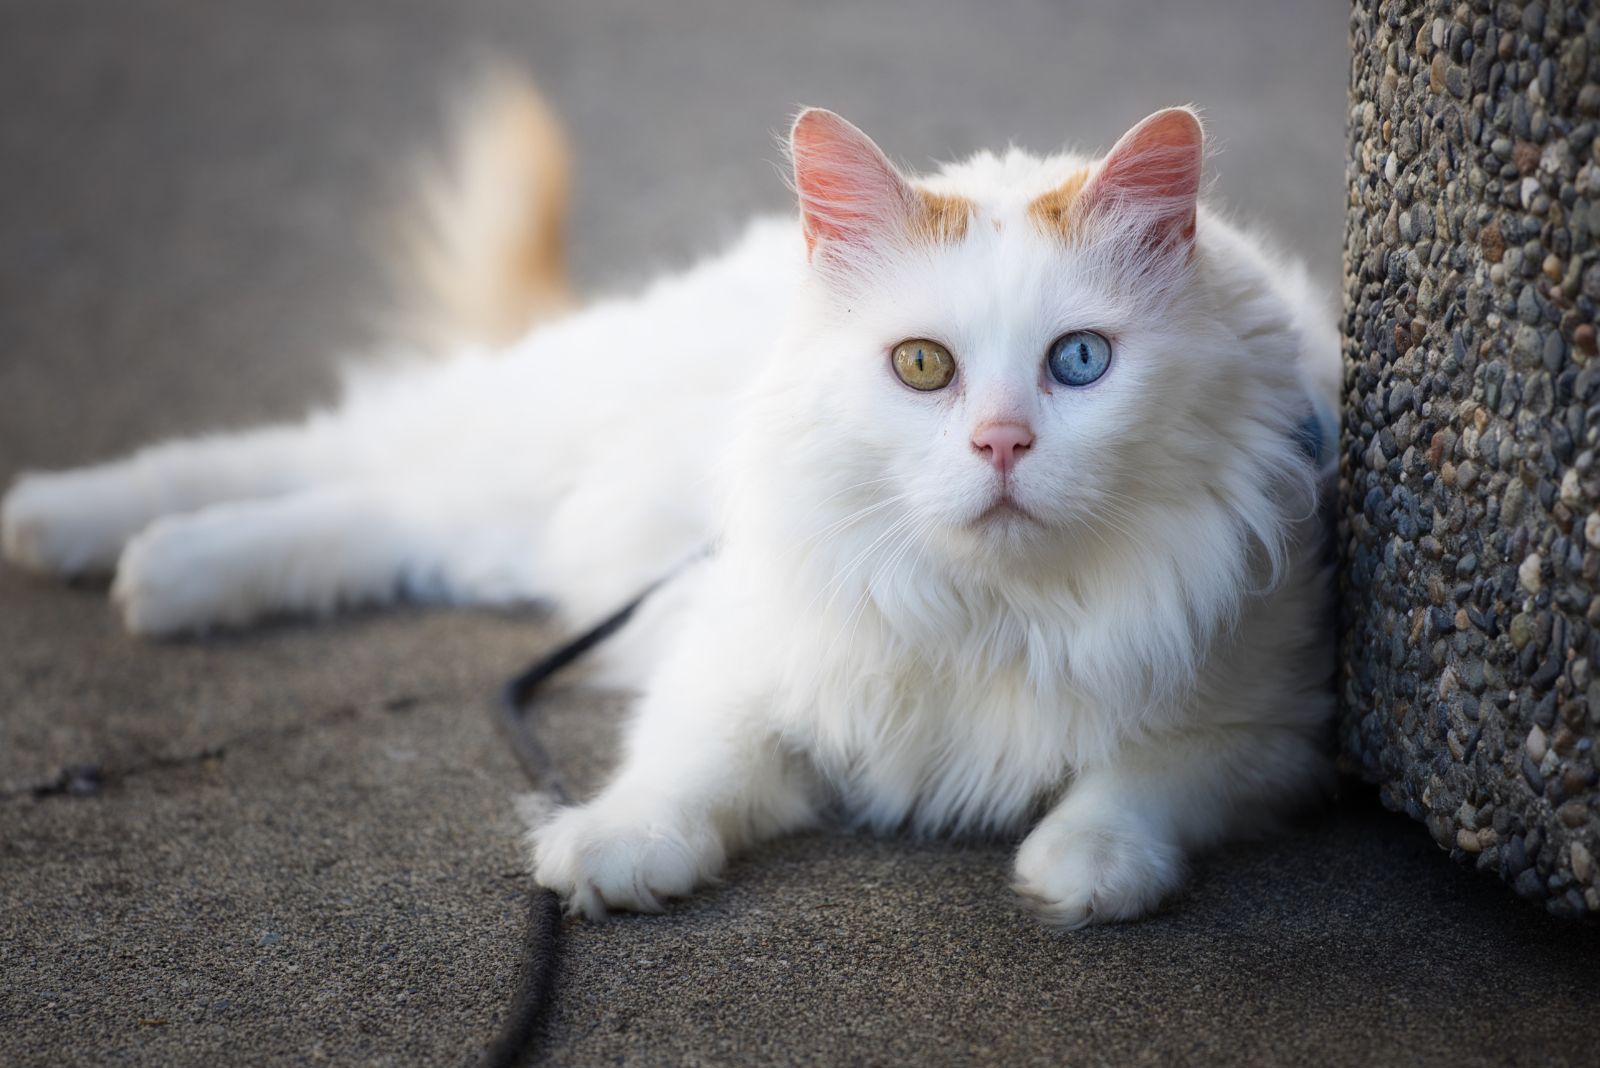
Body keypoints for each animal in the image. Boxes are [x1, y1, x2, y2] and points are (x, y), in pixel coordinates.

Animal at [0, 83, 1337, 927]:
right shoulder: (741, 643)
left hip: (506, 526)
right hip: (518, 441)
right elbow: (685, 762)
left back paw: (165, 574)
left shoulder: (1273, 727)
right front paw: (611, 852)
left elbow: (1143, 781)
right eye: (921, 367)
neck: (995, 610)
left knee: (370, 515)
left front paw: (1082, 868)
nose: (1000, 444)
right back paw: (81, 528)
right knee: (300, 454)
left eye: (1079, 363)